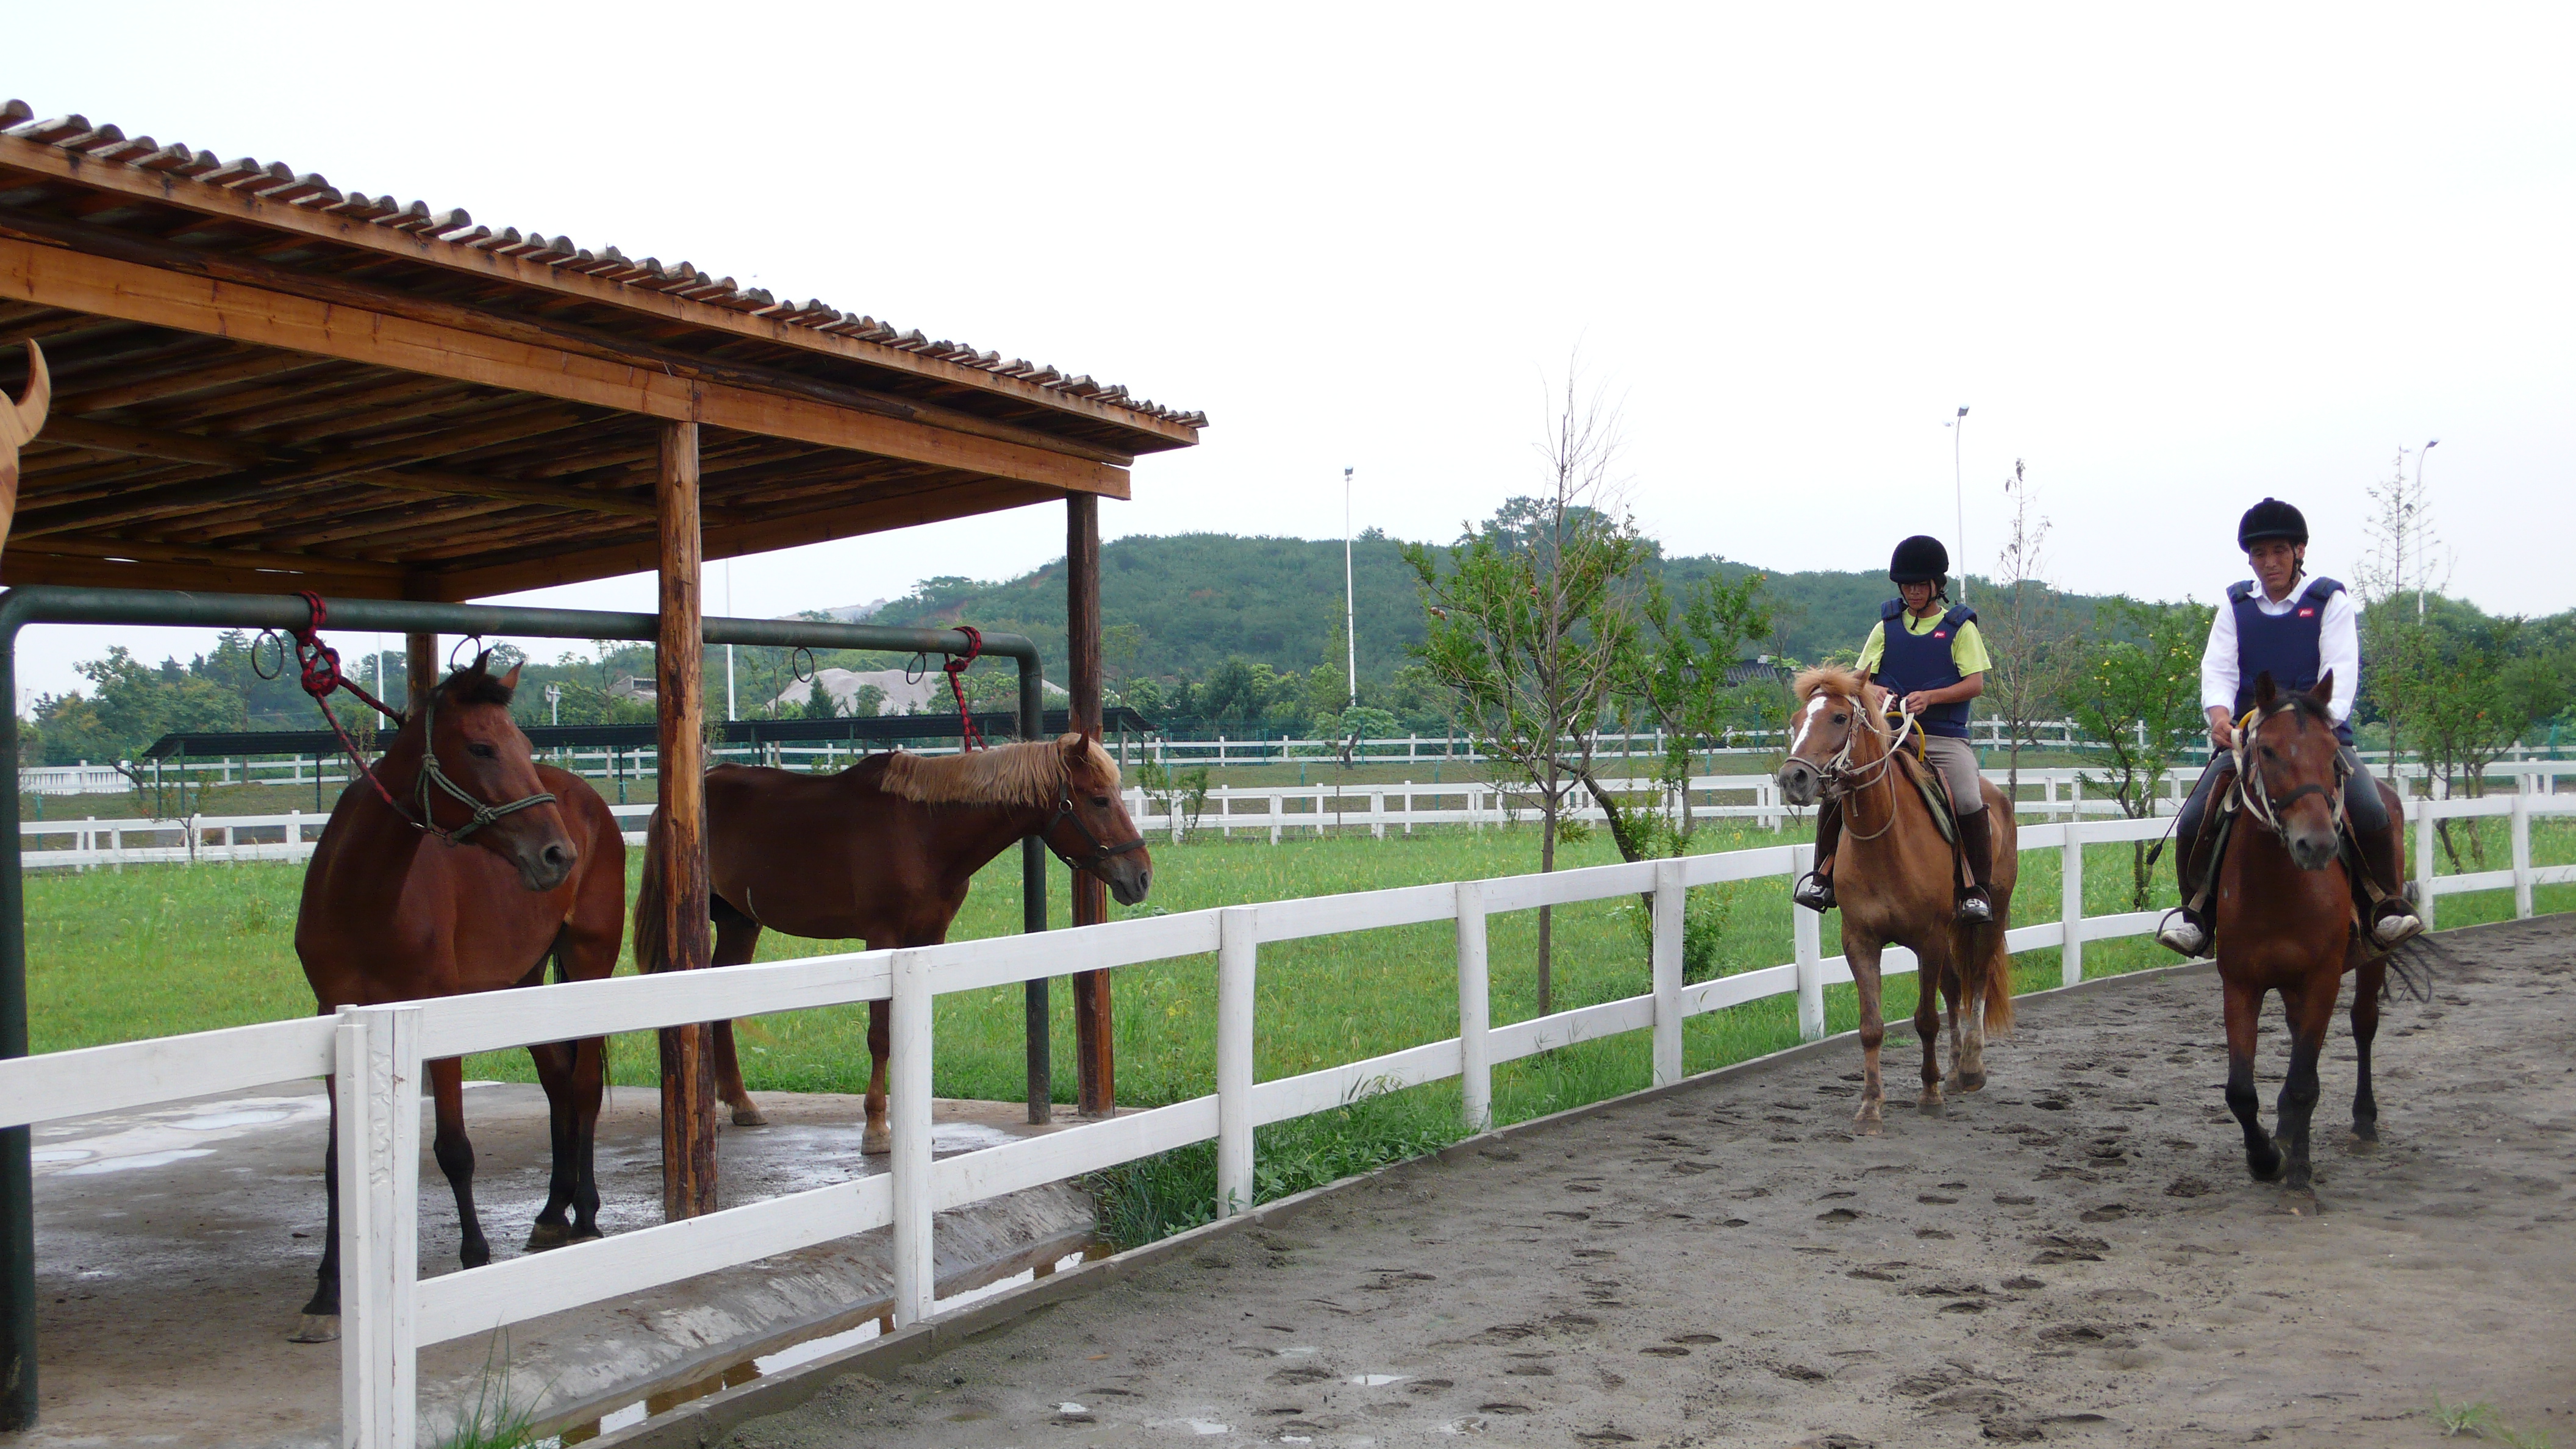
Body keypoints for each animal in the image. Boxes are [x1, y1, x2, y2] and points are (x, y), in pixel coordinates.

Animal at [634, 732, 1148, 1150]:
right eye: (1099, 800)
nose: (1141, 876)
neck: (924, 831)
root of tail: (675, 804)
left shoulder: (928, 939)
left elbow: (909, 1032)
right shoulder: (882, 938)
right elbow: (881, 1035)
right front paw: (877, 1128)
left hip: (741, 923)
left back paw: (740, 1103)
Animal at [1772, 665, 2009, 1129]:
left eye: (1839, 718)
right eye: (1796, 720)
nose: (1793, 778)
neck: (1884, 841)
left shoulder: (1929, 939)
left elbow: (1925, 1020)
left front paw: (1930, 1095)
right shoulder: (1860, 941)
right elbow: (1872, 1026)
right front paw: (1870, 1105)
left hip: (1990, 915)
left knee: (1975, 982)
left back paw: (1971, 1069)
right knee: (1955, 988)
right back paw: (1953, 1068)